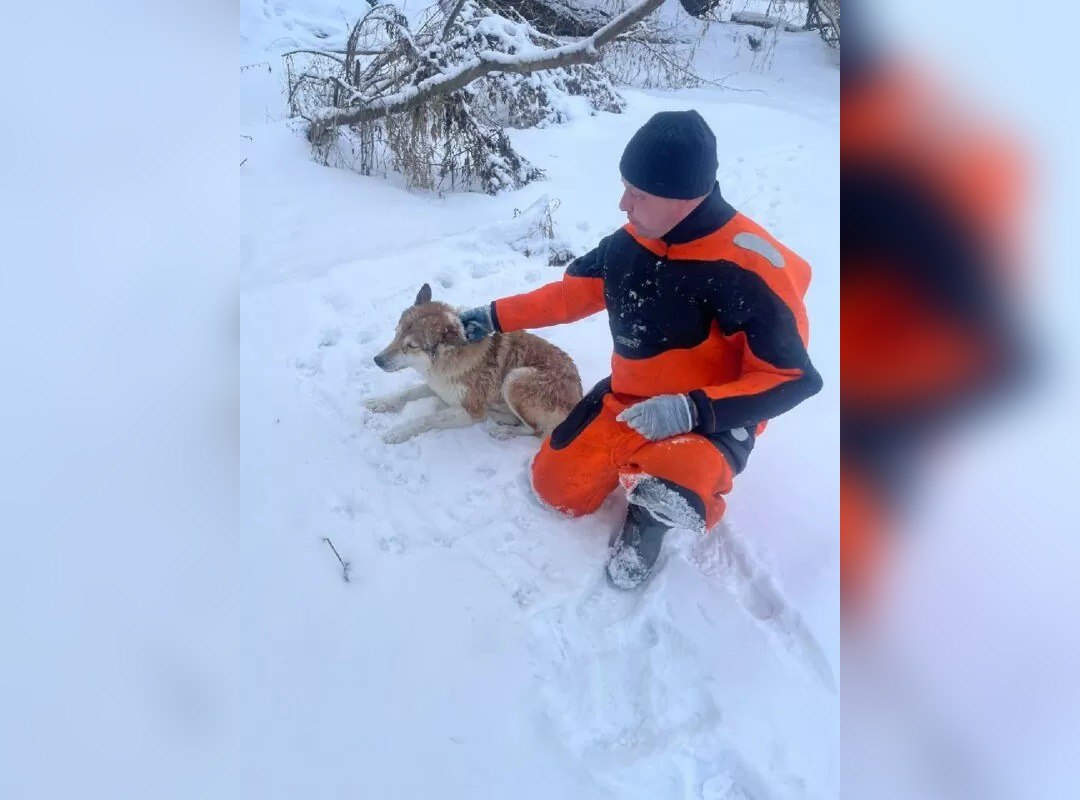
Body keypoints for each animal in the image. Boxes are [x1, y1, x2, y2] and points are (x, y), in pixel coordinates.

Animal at [362, 282, 583, 446]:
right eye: (396, 333)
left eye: (412, 346)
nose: (377, 360)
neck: (447, 362)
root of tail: (579, 399)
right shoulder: (437, 387)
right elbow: (407, 392)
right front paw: (380, 402)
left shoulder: (470, 412)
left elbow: (428, 418)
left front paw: (399, 431)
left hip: (514, 378)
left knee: (535, 430)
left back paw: (503, 430)